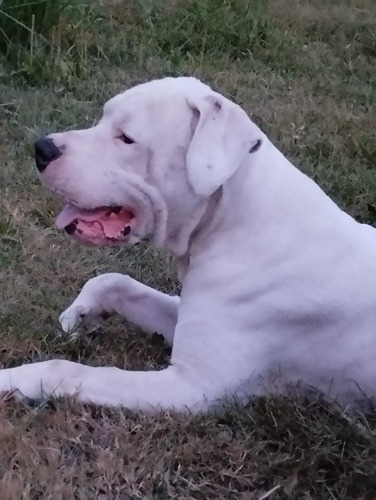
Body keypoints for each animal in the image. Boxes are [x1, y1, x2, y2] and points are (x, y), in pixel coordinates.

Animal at [0, 75, 376, 410]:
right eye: (103, 119)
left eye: (126, 138)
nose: (42, 147)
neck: (231, 219)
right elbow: (115, 281)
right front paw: (80, 314)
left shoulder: (193, 386)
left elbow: (66, 369)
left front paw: (13, 380)